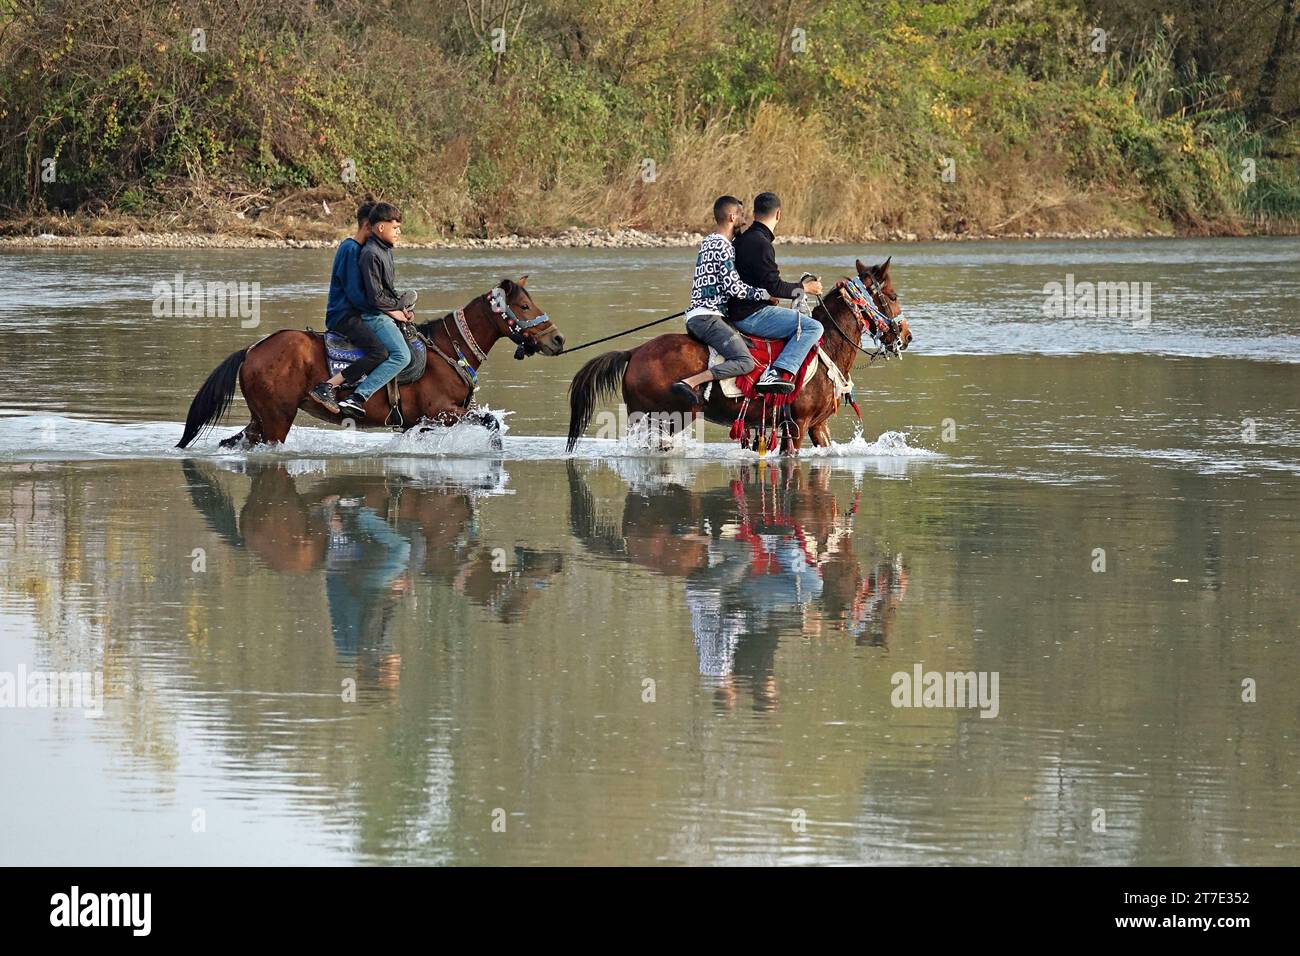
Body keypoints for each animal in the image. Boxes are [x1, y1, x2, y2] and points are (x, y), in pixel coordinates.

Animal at [176, 278, 564, 450]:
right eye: (525, 306)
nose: (557, 339)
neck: (447, 350)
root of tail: (253, 349)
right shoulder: (443, 411)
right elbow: (490, 423)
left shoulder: (420, 422)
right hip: (275, 421)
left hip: (261, 419)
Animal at [564, 257, 909, 455]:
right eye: (892, 296)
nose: (905, 336)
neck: (827, 347)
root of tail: (634, 351)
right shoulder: (797, 425)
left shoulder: (817, 426)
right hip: (666, 417)